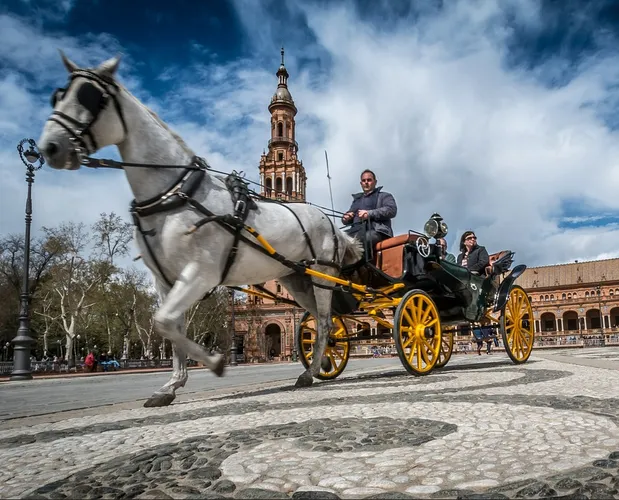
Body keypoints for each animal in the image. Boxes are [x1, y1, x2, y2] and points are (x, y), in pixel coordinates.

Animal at [37, 52, 364, 408]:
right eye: (57, 96)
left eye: (89, 96)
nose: (49, 147)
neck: (175, 193)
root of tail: (330, 224)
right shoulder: (167, 281)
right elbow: (169, 326)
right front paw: (172, 385)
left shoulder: (200, 273)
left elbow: (165, 322)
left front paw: (215, 362)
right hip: (298, 279)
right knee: (323, 321)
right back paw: (321, 364)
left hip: (322, 275)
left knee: (324, 320)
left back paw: (310, 371)